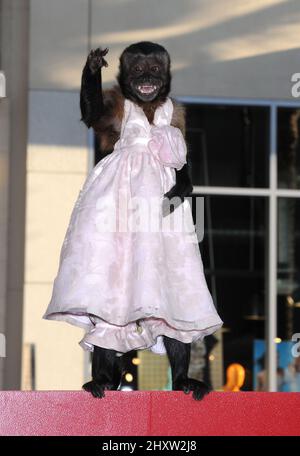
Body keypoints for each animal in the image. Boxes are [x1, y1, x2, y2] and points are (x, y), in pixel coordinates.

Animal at [79, 41, 211, 400]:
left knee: (177, 327)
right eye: (138, 71)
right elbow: (92, 114)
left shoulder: (176, 113)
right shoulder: (115, 106)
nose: (147, 81)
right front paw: (92, 66)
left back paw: (182, 379)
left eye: (154, 70)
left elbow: (180, 158)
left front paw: (182, 186)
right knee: (106, 330)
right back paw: (102, 379)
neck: (145, 104)